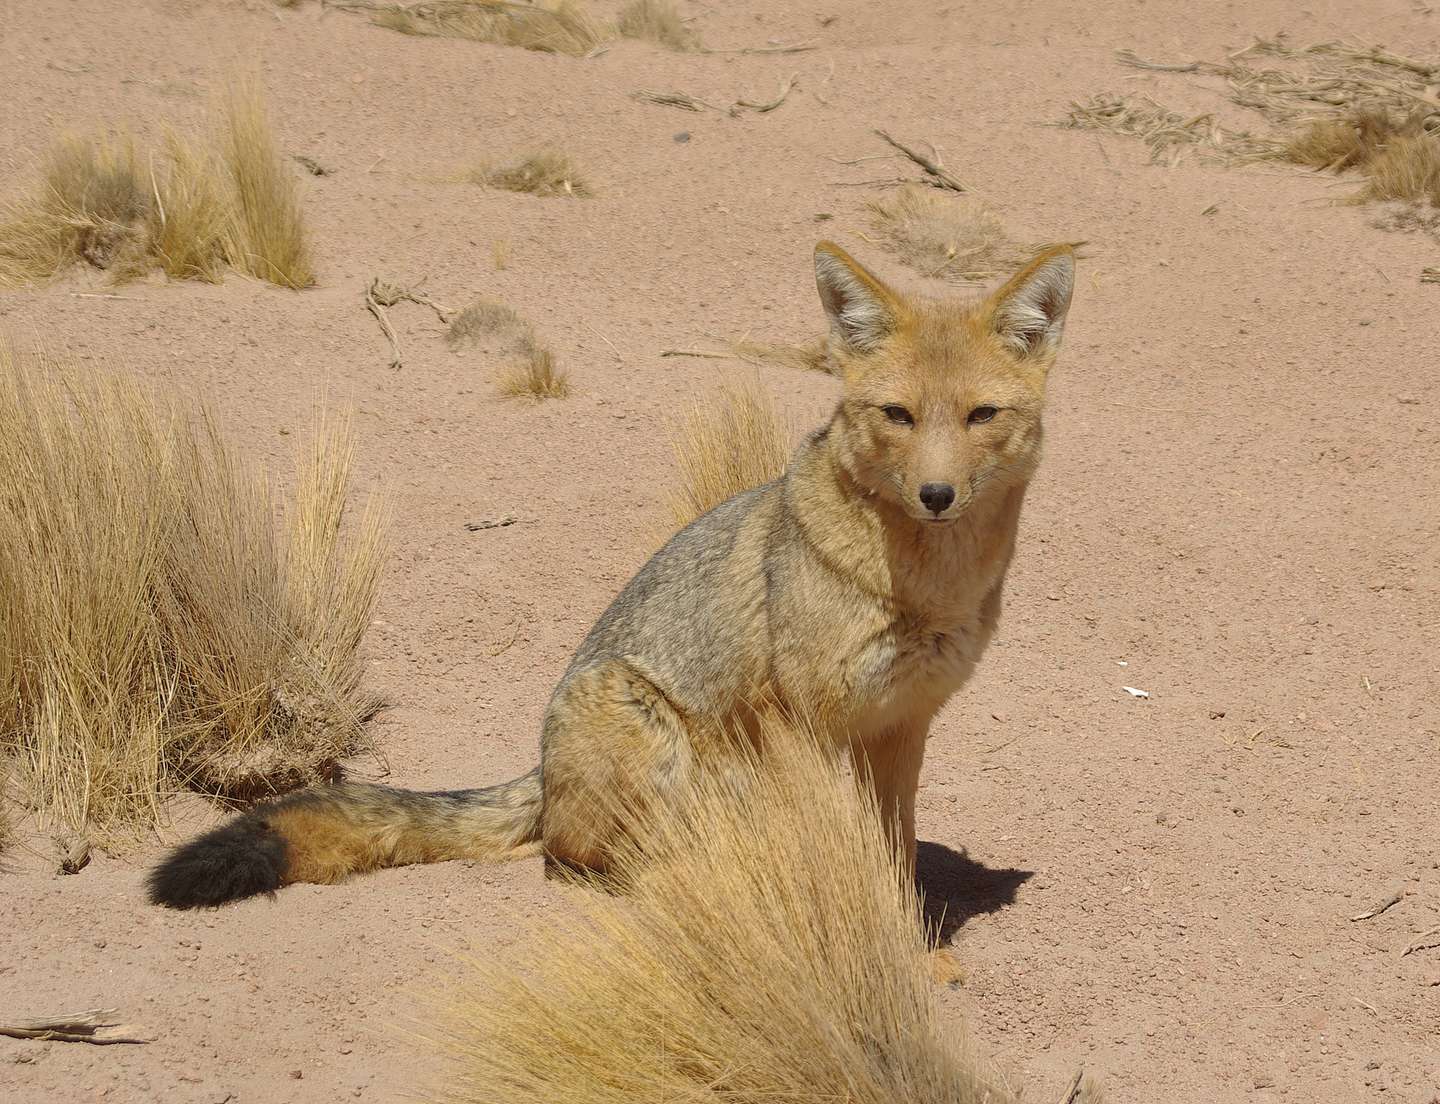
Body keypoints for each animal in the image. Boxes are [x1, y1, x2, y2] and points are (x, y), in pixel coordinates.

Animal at [146, 237, 1077, 909]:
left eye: (980, 415)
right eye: (898, 415)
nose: (936, 495)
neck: (924, 588)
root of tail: (538, 762)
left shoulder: (905, 721)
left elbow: (892, 851)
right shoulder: (809, 718)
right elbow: (836, 854)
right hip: (640, 722)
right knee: (579, 862)